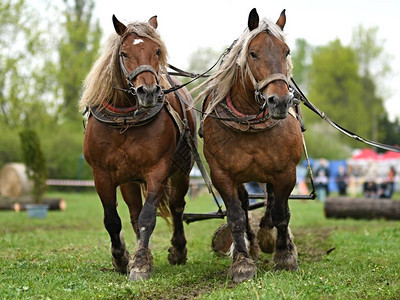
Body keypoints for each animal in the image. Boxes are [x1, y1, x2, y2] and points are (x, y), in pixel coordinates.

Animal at [79, 14, 195, 282]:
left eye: (157, 50)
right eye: (124, 53)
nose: (149, 92)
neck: (125, 120)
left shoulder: (158, 170)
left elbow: (148, 218)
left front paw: (140, 264)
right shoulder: (102, 174)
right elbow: (113, 219)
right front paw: (121, 257)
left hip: (181, 171)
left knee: (176, 207)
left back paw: (178, 249)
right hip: (129, 179)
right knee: (133, 213)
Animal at [195, 8, 304, 282]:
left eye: (286, 51)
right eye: (253, 53)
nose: (280, 101)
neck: (249, 119)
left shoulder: (286, 172)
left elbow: (281, 213)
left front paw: (284, 256)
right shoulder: (222, 175)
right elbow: (235, 216)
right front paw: (242, 262)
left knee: (272, 201)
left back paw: (267, 236)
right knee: (245, 206)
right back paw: (252, 243)